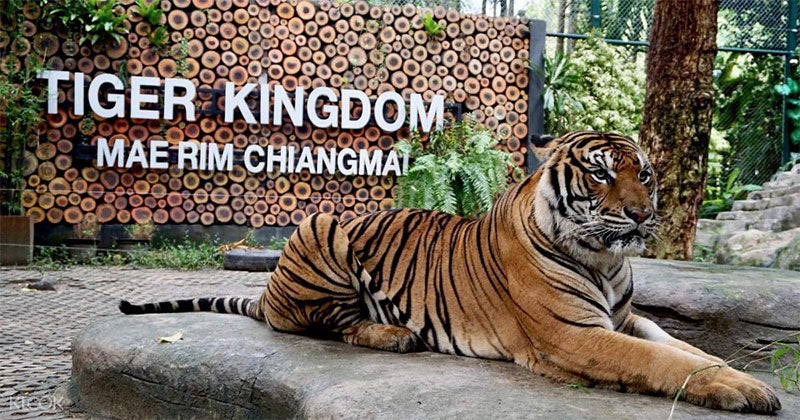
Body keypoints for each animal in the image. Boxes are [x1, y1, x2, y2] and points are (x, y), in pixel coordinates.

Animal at [120, 131, 780, 414]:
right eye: (599, 174)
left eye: (643, 174)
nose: (644, 215)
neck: (604, 258)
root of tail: (268, 289)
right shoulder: (574, 335)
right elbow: (661, 361)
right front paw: (747, 390)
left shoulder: (623, 318)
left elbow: (681, 346)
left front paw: (736, 372)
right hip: (323, 224)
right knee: (322, 323)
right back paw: (394, 334)